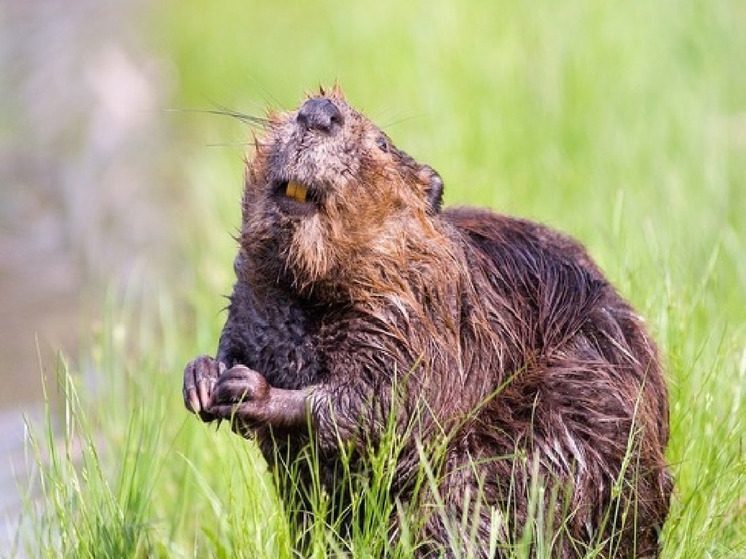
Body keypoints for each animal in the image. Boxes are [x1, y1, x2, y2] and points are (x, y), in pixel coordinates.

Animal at [183, 85, 672, 556]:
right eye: (297, 107)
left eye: (381, 143)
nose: (318, 112)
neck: (307, 292)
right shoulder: (254, 299)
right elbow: (237, 340)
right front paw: (202, 377)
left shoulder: (420, 318)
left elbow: (386, 403)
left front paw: (248, 389)